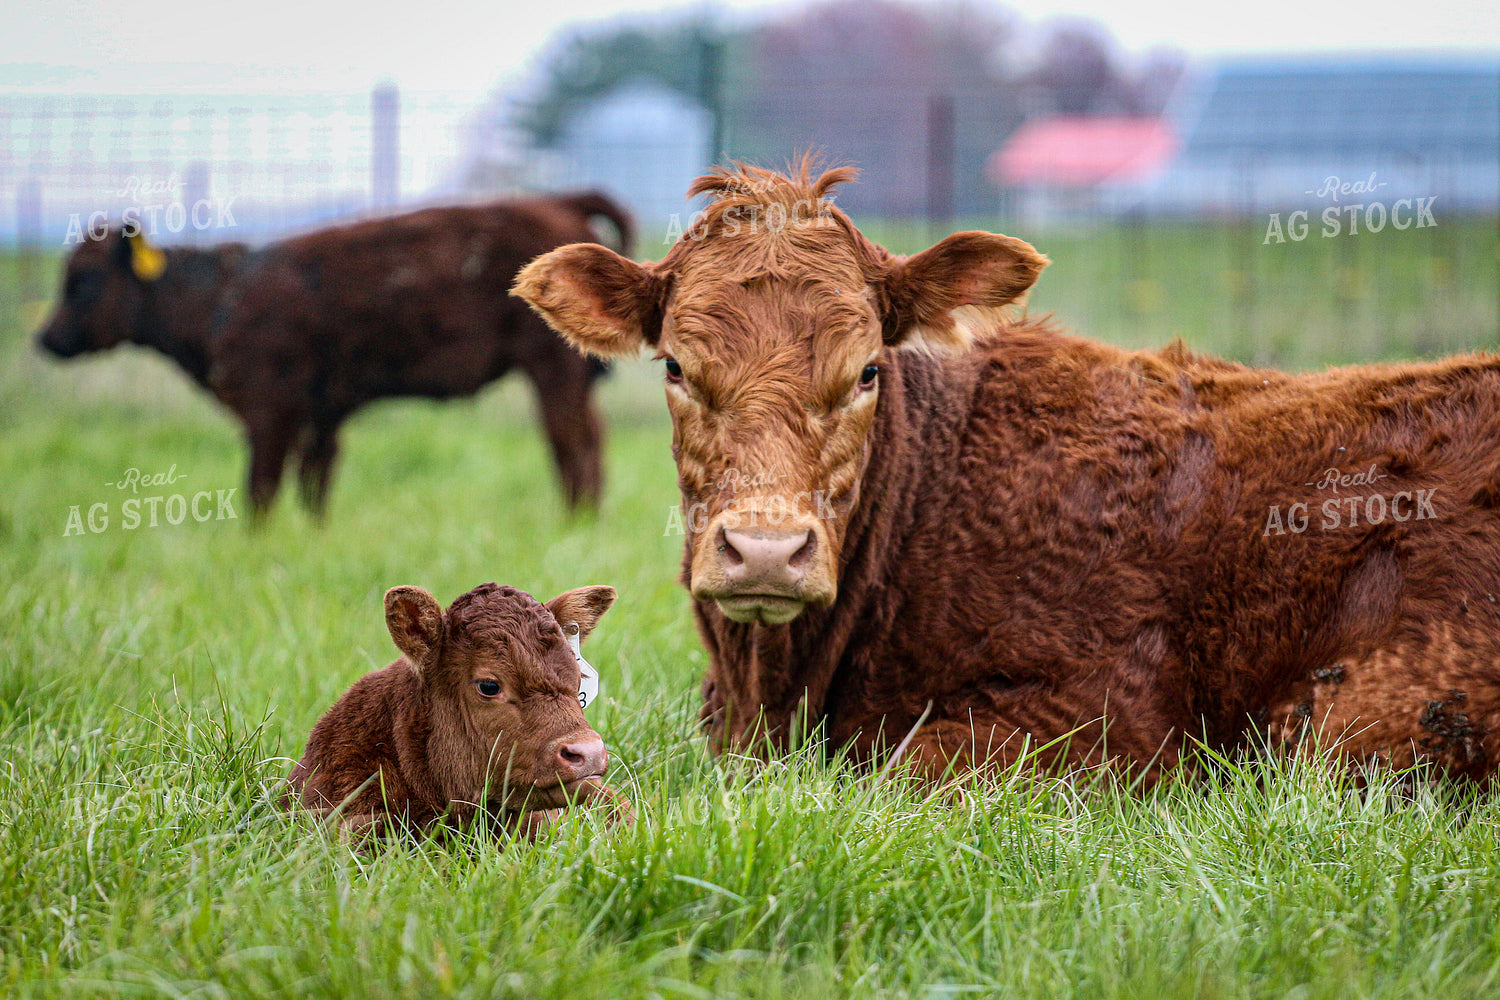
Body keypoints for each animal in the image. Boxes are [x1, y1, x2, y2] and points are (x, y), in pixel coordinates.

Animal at [36, 192, 633, 520]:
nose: (45, 338)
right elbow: (313, 489)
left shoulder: (270, 413)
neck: (223, 294)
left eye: (83, 281)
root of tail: (558, 202)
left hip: (553, 372)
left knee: (572, 445)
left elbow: (260, 489)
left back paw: (575, 521)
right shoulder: (321, 419)